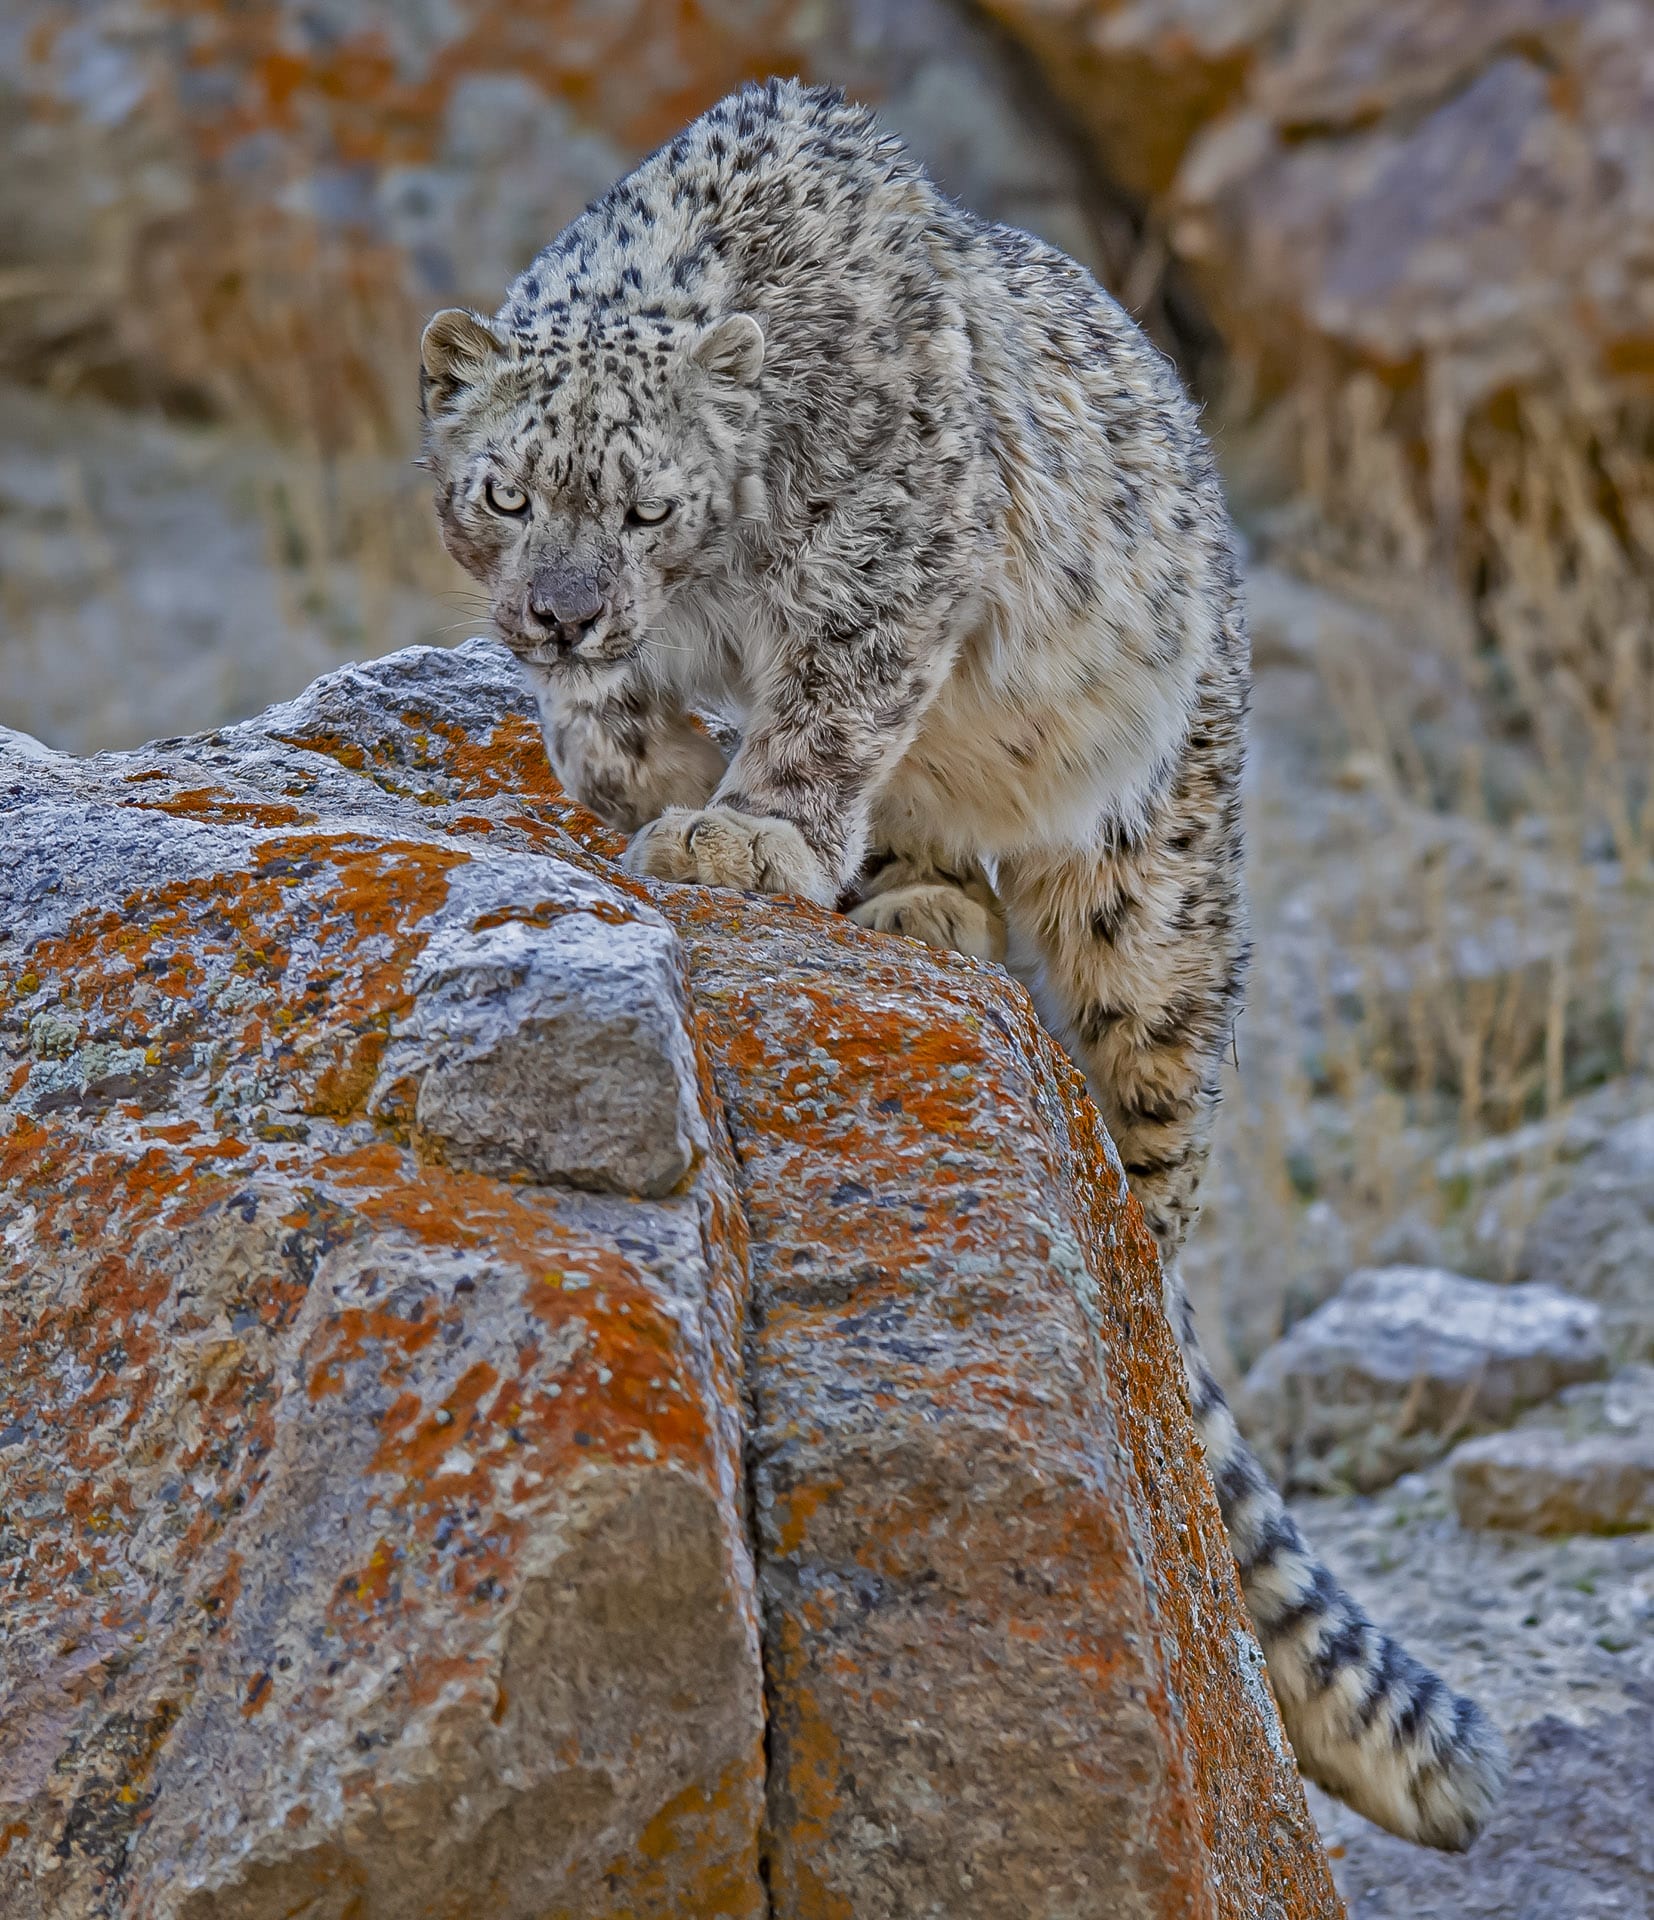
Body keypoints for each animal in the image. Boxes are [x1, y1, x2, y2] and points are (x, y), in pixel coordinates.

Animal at [418, 76, 1508, 1851]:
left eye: (649, 503)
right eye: (507, 494)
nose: (568, 612)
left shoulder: (892, 546)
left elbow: (834, 694)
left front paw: (743, 832)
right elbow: (627, 731)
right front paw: (645, 767)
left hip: (1160, 889)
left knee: (1158, 1151)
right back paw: (919, 901)